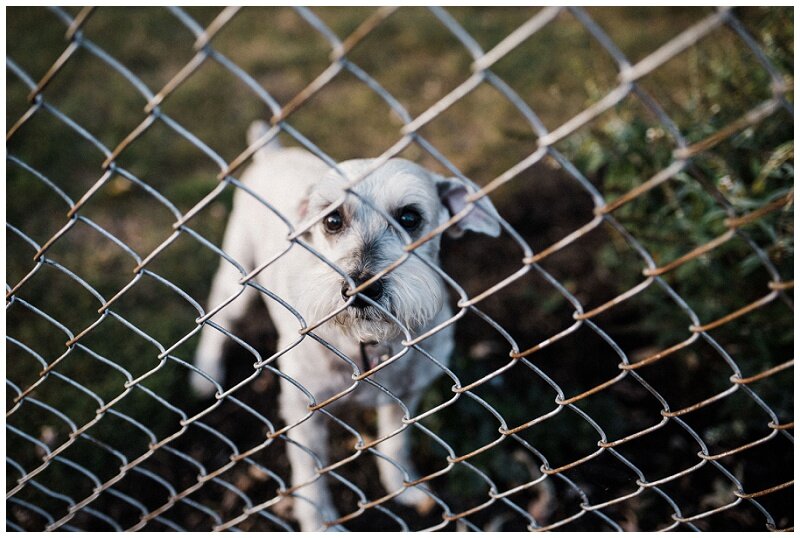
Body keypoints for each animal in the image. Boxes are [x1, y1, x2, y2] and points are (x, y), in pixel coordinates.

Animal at [191, 121, 500, 528]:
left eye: (410, 217)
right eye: (332, 220)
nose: (361, 289)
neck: (366, 345)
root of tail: (272, 153)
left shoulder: (406, 398)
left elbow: (395, 445)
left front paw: (404, 488)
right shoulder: (303, 413)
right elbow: (310, 477)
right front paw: (317, 522)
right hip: (237, 279)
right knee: (217, 317)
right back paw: (204, 374)